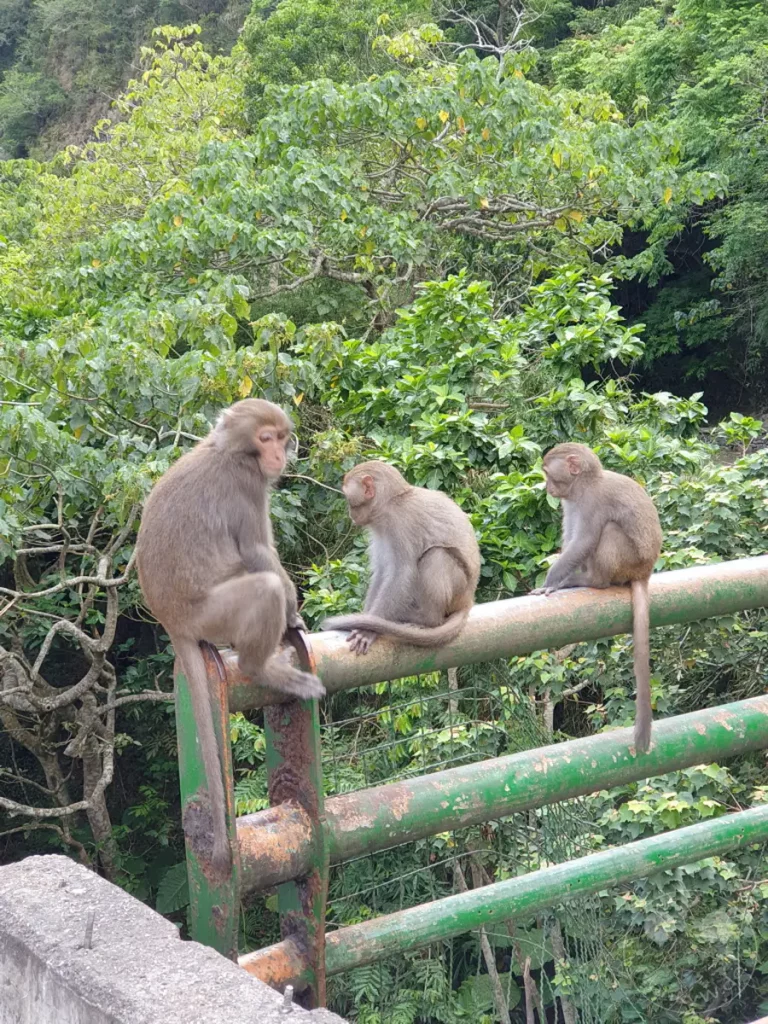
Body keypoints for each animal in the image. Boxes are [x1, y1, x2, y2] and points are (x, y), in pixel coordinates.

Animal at [136, 398, 325, 877]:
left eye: (280, 436)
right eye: (265, 438)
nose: (278, 454)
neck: (228, 450)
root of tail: (172, 621)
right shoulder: (246, 487)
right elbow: (259, 553)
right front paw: (293, 615)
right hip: (213, 614)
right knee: (264, 586)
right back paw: (263, 666)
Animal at [321, 461, 481, 655]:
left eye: (348, 498)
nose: (351, 514)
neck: (392, 501)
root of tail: (468, 600)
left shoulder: (399, 523)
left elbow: (401, 573)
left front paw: (367, 630)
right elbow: (382, 571)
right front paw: (367, 620)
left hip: (459, 588)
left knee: (436, 555)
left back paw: (425, 618)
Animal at [532, 442, 662, 753]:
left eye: (547, 472)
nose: (547, 487)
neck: (582, 485)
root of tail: (646, 571)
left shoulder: (592, 502)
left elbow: (584, 540)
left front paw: (552, 582)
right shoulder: (571, 502)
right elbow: (571, 539)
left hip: (628, 561)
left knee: (610, 530)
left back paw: (593, 581)